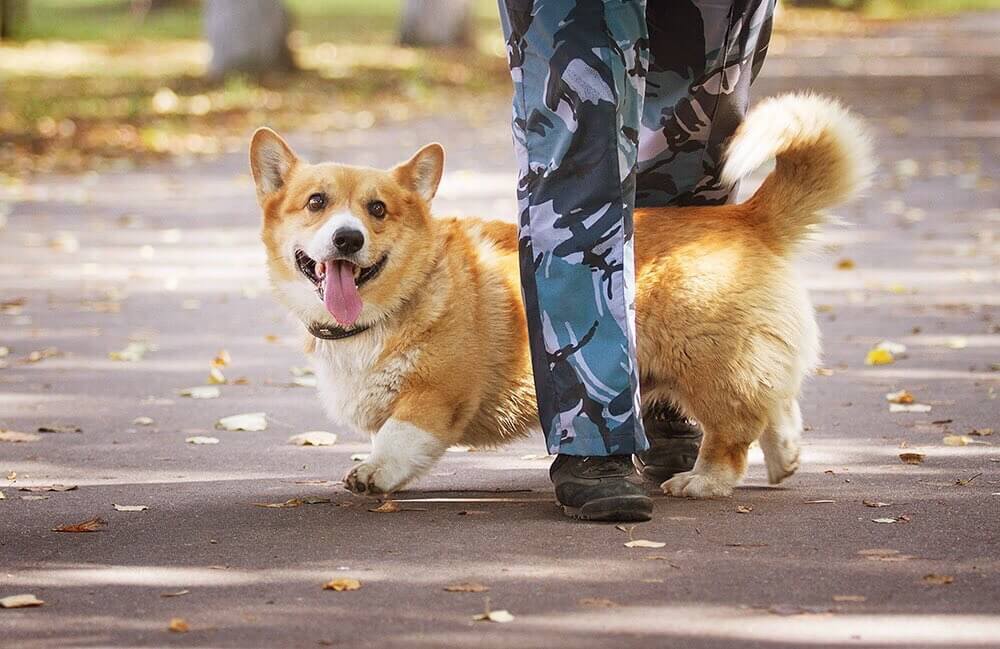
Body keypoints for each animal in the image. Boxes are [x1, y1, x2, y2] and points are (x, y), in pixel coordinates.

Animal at [252, 92, 876, 496]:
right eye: (316, 203)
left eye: (377, 210)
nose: (348, 238)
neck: (396, 302)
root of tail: (744, 218)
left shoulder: (435, 396)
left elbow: (397, 439)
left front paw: (372, 473)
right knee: (775, 403)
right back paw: (785, 460)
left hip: (706, 364)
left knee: (731, 431)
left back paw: (700, 482)